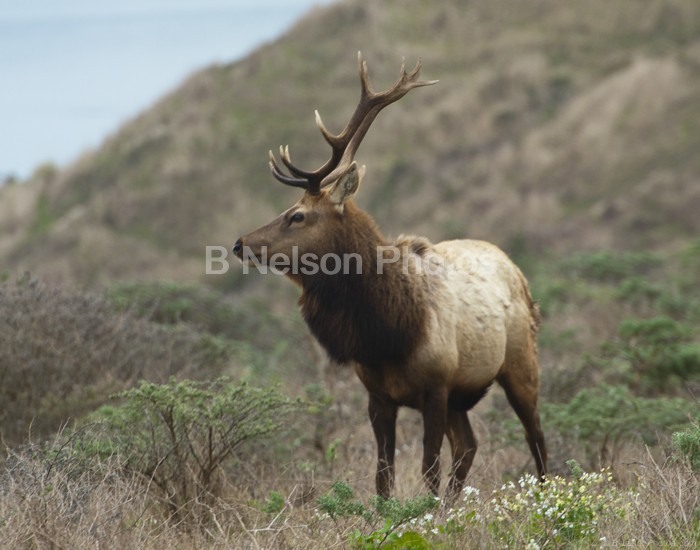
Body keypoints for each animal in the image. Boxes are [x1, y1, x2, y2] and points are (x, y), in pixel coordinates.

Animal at [235, 52, 548, 500]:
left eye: (297, 215)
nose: (239, 243)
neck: (388, 334)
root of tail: (517, 272)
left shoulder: (436, 386)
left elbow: (428, 467)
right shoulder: (379, 395)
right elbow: (383, 476)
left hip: (520, 362)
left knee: (535, 436)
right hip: (462, 395)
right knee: (469, 446)